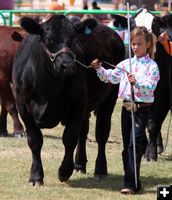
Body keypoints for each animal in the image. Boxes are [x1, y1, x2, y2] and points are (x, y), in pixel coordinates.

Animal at [12, 14, 125, 185]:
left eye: (74, 39)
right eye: (49, 40)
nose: (68, 65)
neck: (47, 86)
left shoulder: (76, 106)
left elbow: (70, 138)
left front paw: (64, 171)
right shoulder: (23, 107)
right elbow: (34, 140)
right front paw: (36, 176)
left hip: (109, 98)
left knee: (102, 133)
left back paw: (100, 169)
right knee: (84, 131)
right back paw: (79, 164)